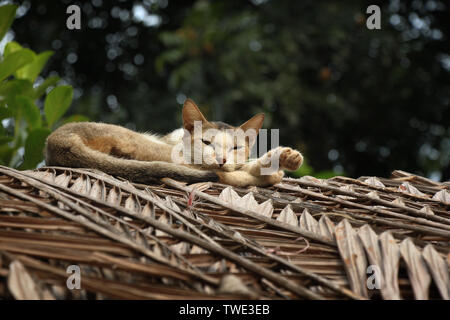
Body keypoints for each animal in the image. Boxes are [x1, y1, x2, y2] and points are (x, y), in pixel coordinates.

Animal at [44, 99, 302, 186]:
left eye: (236, 147)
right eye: (206, 142)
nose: (221, 158)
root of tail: (55, 142)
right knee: (226, 176)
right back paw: (272, 171)